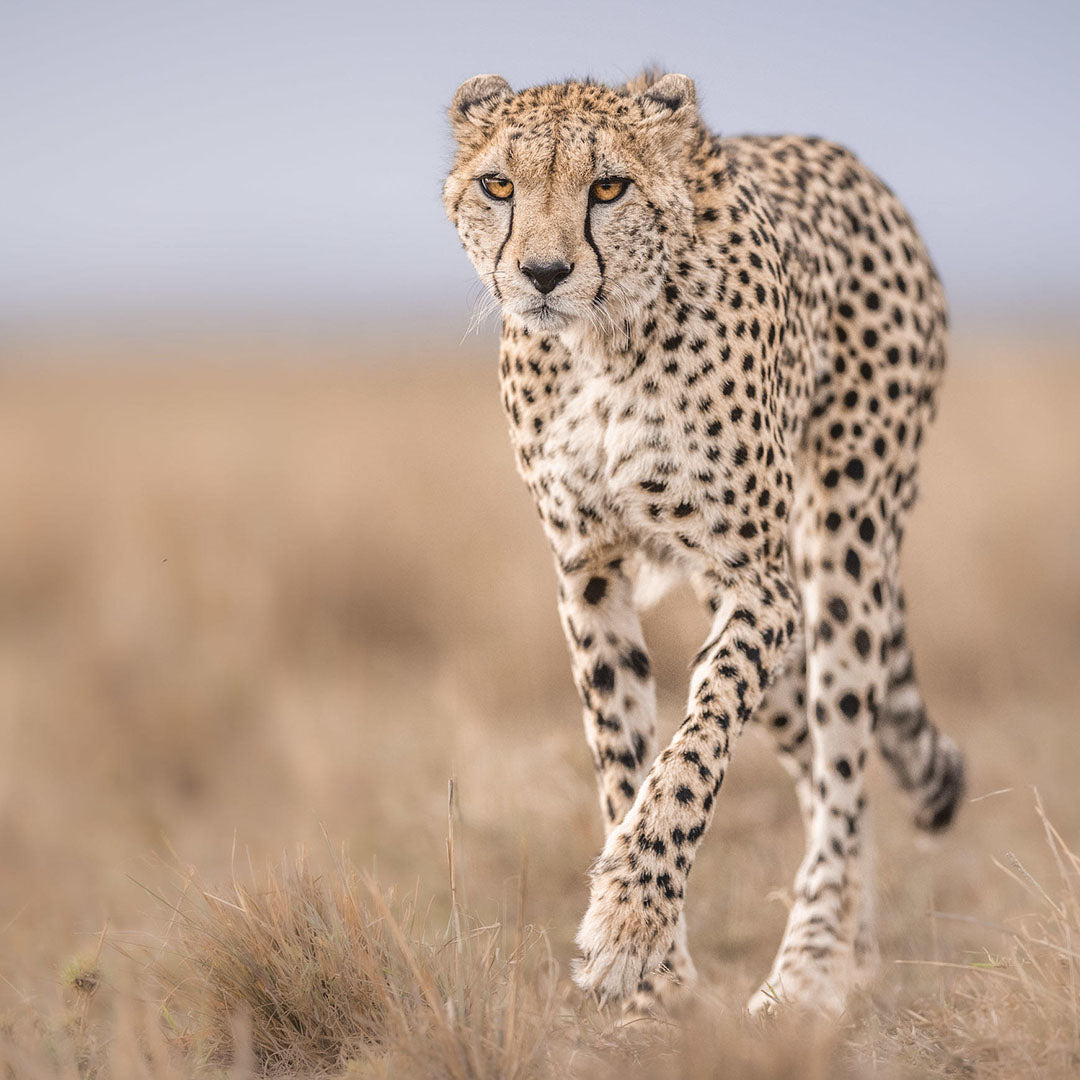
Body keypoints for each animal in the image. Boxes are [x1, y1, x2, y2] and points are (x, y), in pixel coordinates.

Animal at [442, 68, 965, 1016]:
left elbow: (693, 751)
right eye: (498, 186)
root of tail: (850, 164)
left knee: (842, 767)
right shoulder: (589, 574)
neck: (601, 345)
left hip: (843, 552)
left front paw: (629, 923)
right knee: (830, 772)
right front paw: (657, 985)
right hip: (792, 641)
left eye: (608, 188)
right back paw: (856, 952)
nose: (543, 273)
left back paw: (810, 970)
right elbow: (623, 763)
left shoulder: (757, 584)